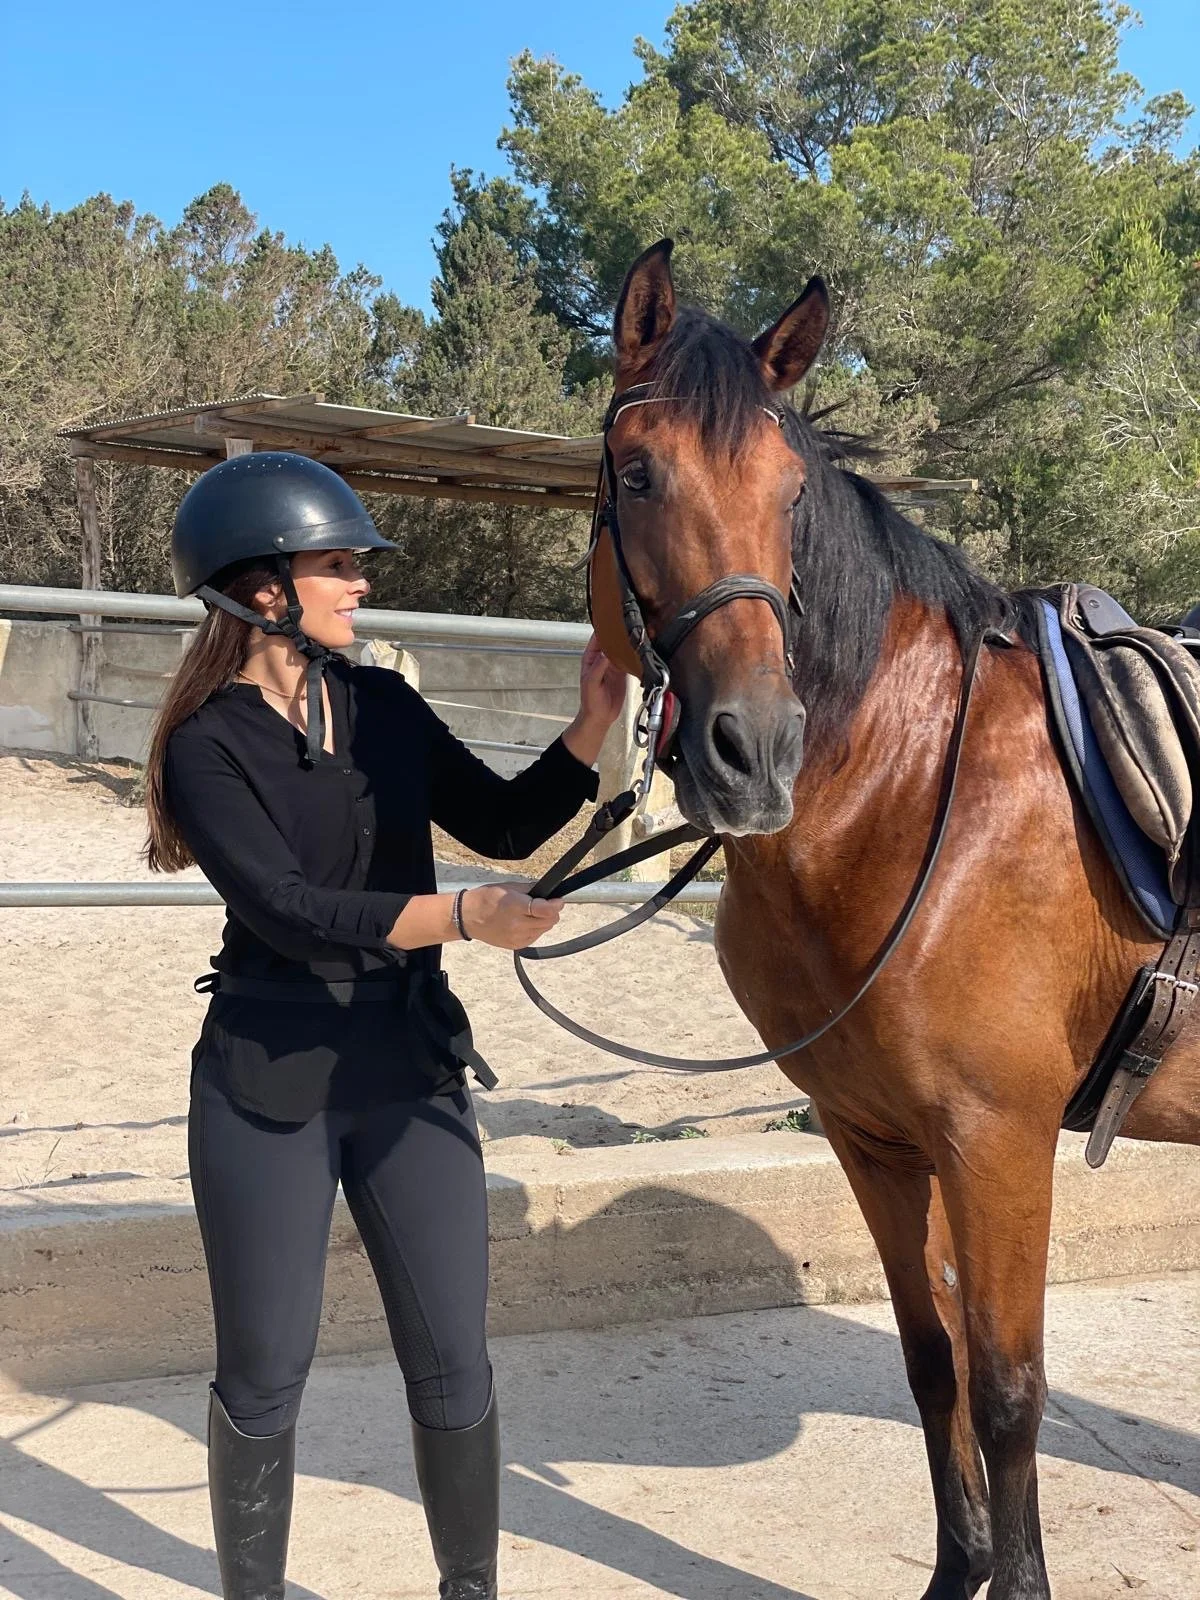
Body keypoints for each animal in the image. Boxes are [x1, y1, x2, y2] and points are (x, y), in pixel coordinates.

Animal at [586, 239, 1200, 1600]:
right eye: (638, 472)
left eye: (790, 496)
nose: (754, 750)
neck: (919, 792)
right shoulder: (873, 1138)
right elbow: (937, 1366)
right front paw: (962, 1570)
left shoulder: (997, 1141)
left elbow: (1013, 1393)